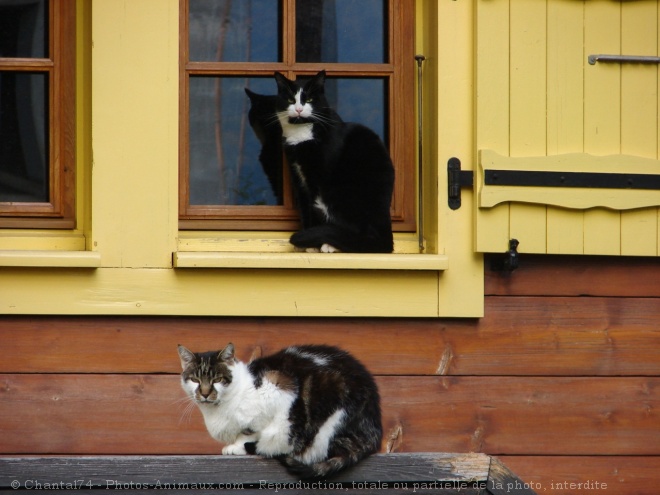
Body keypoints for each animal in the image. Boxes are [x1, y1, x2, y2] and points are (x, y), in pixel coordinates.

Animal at [177, 342, 382, 478]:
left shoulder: (279, 387)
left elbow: (250, 431)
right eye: (195, 380)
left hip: (330, 417)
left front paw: (237, 446)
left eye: (217, 379)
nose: (204, 393)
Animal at [245, 71, 394, 254]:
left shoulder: (318, 178)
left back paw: (331, 244)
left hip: (344, 192)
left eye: (309, 99)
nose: (299, 109)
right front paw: (306, 243)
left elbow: (313, 208)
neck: (300, 134)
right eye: (290, 100)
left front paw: (311, 243)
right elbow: (305, 207)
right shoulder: (299, 177)